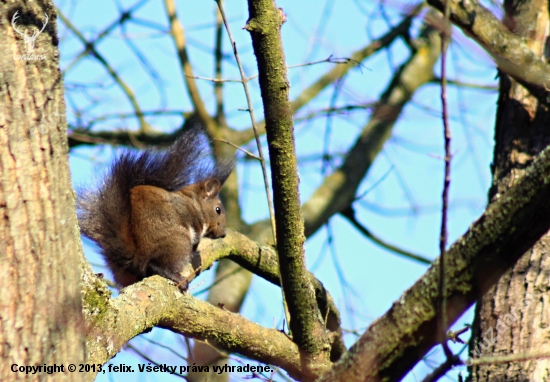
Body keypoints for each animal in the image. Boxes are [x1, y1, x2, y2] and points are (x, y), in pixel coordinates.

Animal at [77, 122, 235, 292]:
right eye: (218, 210)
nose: (223, 234)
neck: (193, 201)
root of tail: (137, 258)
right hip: (178, 242)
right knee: (155, 264)